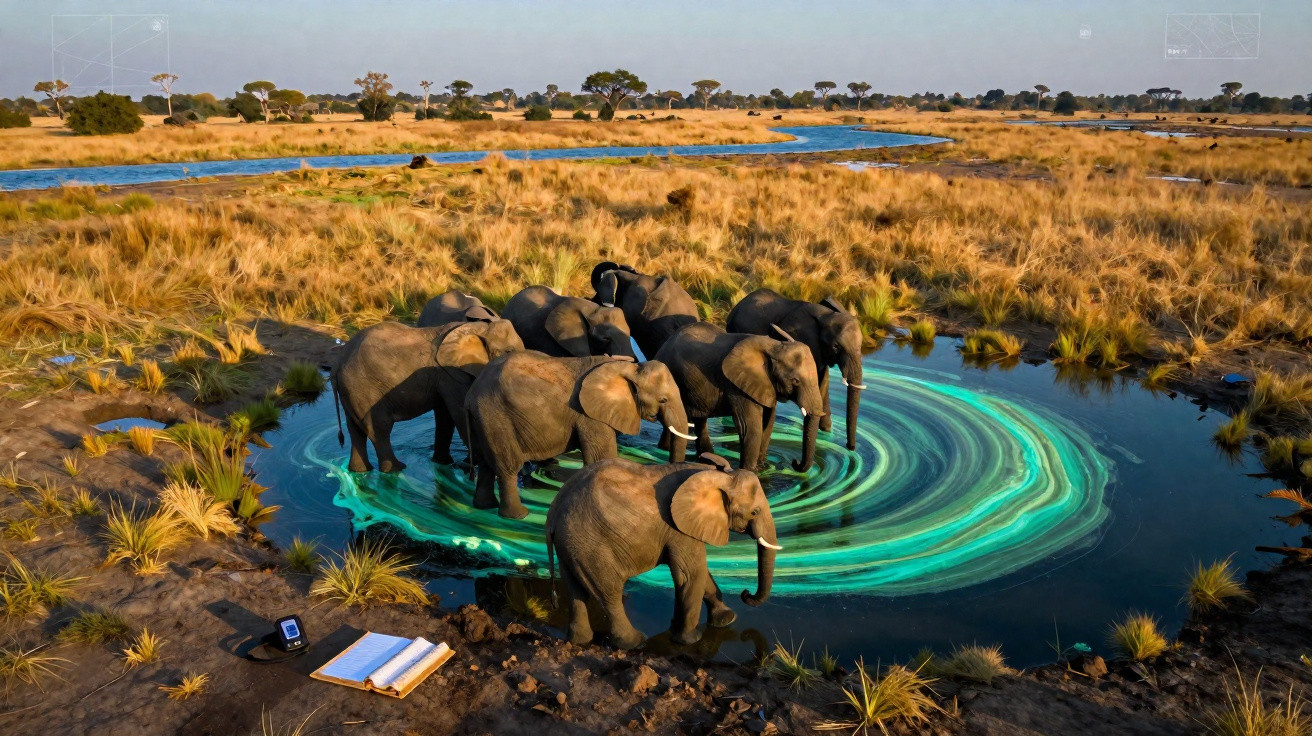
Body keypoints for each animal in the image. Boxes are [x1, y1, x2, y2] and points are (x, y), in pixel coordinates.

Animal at [331, 319, 524, 473]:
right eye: (508, 351)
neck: (480, 328)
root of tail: (337, 363)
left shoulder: (442, 378)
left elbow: (445, 416)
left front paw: (444, 462)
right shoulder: (452, 374)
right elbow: (459, 414)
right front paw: (470, 464)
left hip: (351, 391)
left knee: (356, 430)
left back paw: (359, 470)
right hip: (363, 388)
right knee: (379, 429)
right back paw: (395, 469)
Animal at [464, 352, 693, 519]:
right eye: (663, 400)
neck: (628, 368)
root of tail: (472, 392)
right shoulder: (590, 416)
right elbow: (602, 457)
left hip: (482, 418)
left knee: (486, 462)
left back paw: (484, 506)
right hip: (495, 415)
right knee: (507, 466)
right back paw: (518, 516)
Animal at [545, 454, 780, 648]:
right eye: (754, 512)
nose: (746, 593)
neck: (713, 475)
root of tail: (554, 514)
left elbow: (695, 575)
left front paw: (725, 619)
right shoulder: (679, 528)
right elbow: (691, 574)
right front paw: (690, 640)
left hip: (571, 549)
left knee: (576, 592)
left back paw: (580, 641)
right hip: (591, 548)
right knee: (609, 594)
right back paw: (635, 642)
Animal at [654, 322, 824, 472]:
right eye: (795, 381)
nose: (794, 462)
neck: (773, 346)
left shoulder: (766, 386)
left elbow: (767, 425)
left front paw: (763, 467)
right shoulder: (737, 386)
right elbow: (750, 428)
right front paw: (751, 471)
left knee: (697, 421)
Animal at [727, 289, 865, 451]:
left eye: (861, 345)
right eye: (836, 347)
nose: (850, 447)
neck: (826, 315)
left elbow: (823, 381)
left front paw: (826, 431)